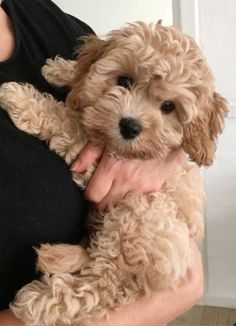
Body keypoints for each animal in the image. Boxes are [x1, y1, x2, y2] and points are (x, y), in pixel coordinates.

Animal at [0, 21, 227, 324]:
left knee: (104, 285)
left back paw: (40, 300)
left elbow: (69, 122)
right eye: (124, 81)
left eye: (168, 106)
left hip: (140, 217)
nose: (129, 127)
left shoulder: (98, 157)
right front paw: (63, 70)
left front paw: (20, 97)